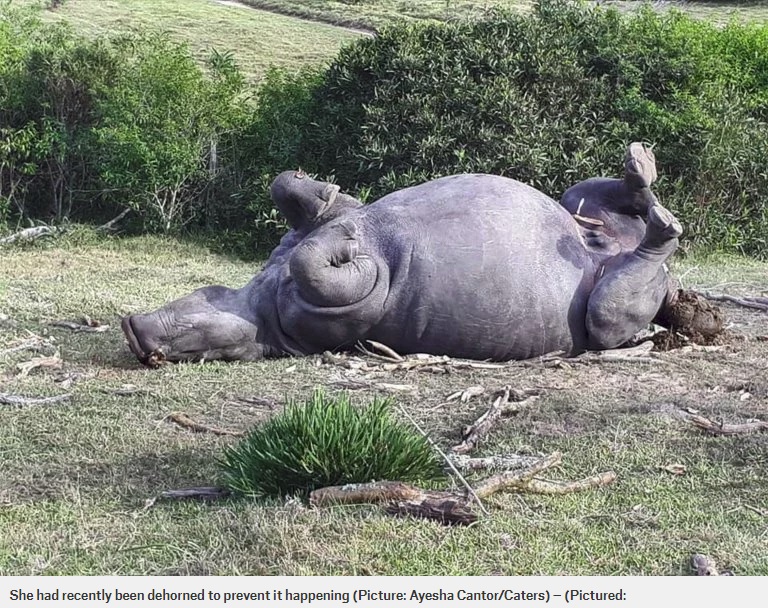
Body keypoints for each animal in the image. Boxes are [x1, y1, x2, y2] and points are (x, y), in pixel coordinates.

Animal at [121, 144, 688, 366]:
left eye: (203, 291)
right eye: (193, 345)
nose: (134, 327)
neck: (254, 306)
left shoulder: (317, 231)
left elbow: (295, 200)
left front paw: (323, 198)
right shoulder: (341, 311)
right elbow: (324, 268)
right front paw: (348, 245)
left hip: (577, 204)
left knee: (608, 201)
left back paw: (641, 167)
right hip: (606, 311)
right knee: (618, 297)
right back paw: (660, 219)